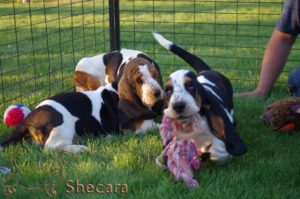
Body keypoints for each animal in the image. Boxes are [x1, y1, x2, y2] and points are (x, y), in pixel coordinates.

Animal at [152, 32, 246, 163]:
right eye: (169, 90)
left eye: (191, 86)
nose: (178, 106)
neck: (191, 124)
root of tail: (206, 70)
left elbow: (218, 146)